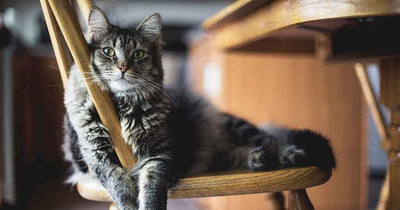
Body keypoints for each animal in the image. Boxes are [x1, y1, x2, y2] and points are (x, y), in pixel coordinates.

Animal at [63, 6, 334, 210]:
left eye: (138, 54)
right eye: (108, 51)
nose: (122, 68)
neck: (121, 106)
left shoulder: (160, 154)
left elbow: (152, 188)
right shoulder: (95, 156)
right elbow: (117, 184)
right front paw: (129, 202)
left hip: (238, 128)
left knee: (271, 140)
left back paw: (288, 154)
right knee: (232, 155)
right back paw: (256, 158)